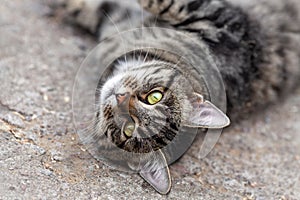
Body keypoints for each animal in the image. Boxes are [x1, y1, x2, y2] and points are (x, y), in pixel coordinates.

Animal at [51, 0, 300, 195]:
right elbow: (89, 8)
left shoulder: (227, 26)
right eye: (155, 96)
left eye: (129, 129)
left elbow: (165, 2)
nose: (120, 97)